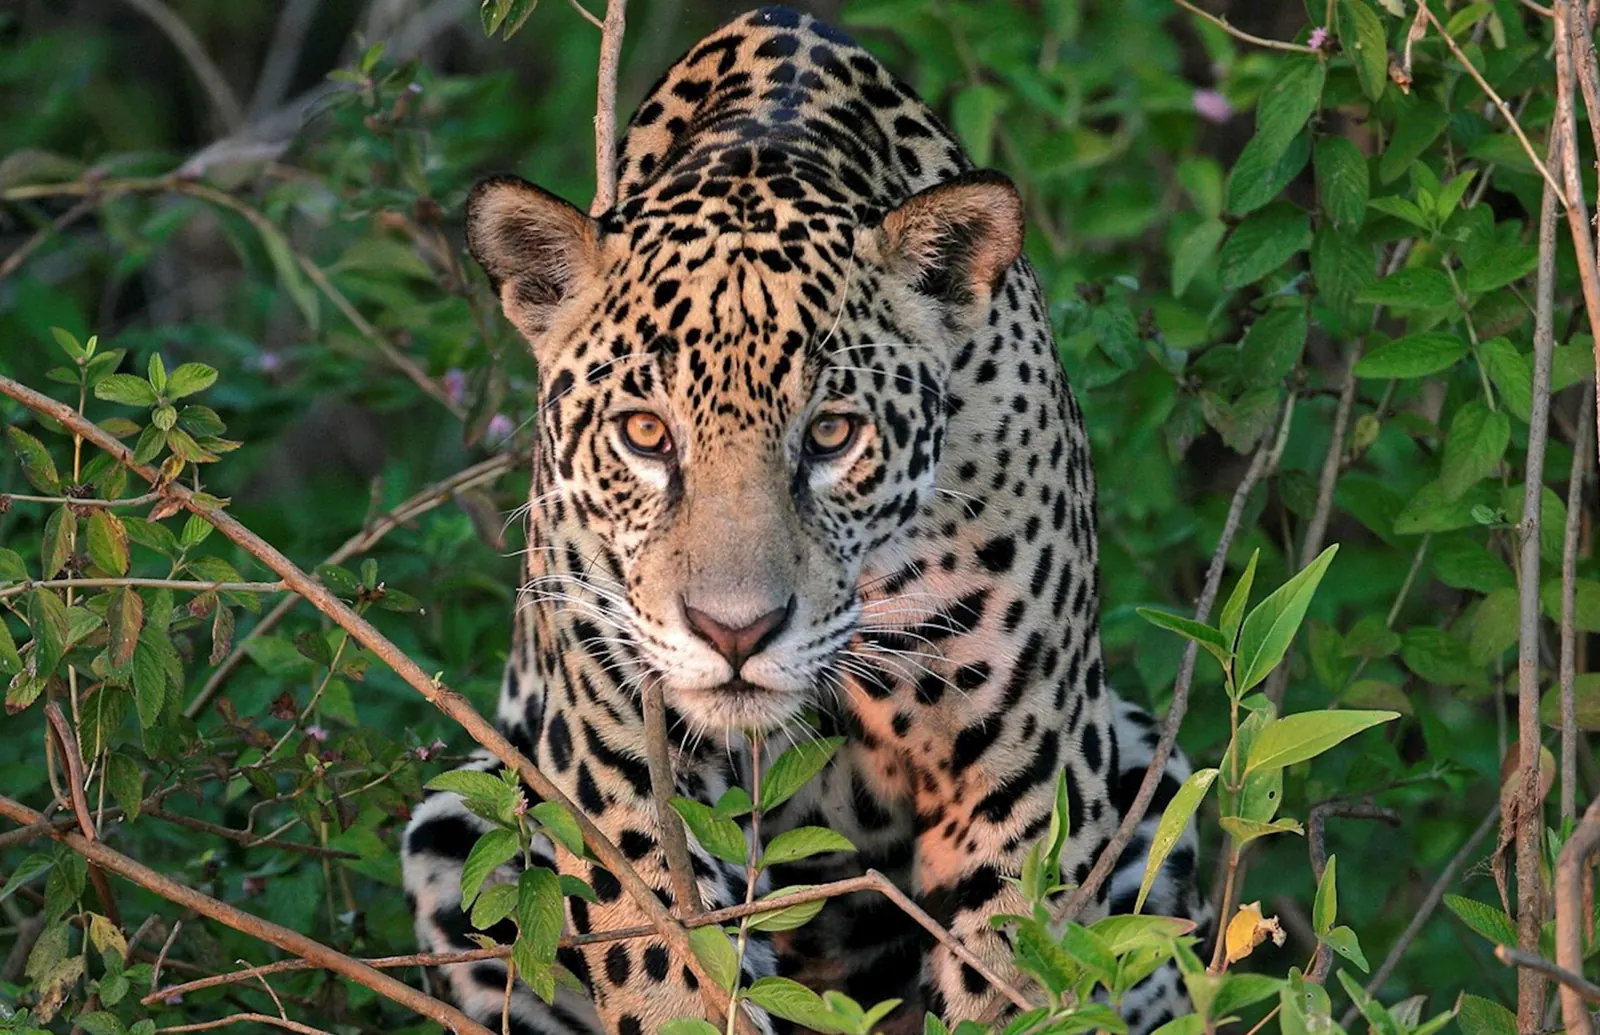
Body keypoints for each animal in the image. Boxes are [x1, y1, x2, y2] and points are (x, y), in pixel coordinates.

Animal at [401, 8, 1207, 1035]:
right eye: (644, 433)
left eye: (831, 433)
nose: (735, 632)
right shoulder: (612, 750)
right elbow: (666, 959)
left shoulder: (1024, 771)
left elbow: (1014, 969)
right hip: (459, 822)